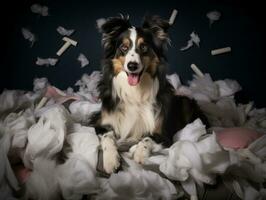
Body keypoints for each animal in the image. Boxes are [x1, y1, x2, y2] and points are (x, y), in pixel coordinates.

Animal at [91, 13, 208, 173]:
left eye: (144, 47)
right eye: (124, 48)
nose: (132, 66)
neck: (134, 91)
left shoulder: (164, 133)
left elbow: (147, 139)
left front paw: (139, 152)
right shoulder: (101, 123)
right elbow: (108, 137)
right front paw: (110, 160)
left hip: (186, 103)